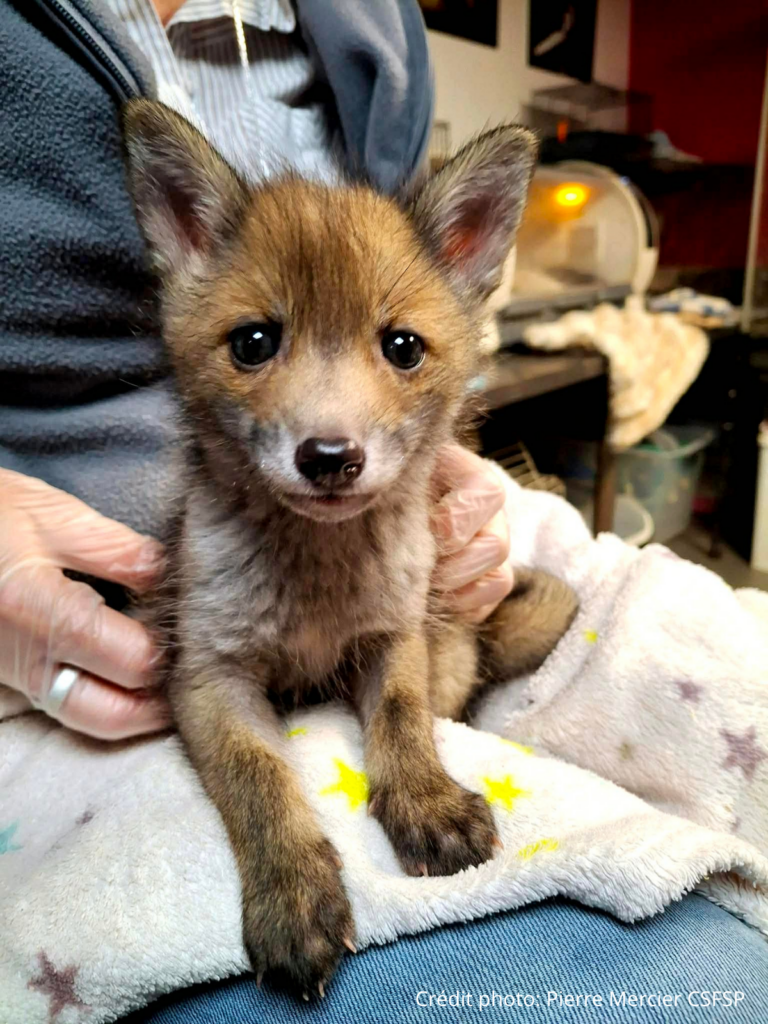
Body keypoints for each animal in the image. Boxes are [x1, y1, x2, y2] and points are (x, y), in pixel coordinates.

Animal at [122, 100, 578, 998]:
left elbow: (402, 722)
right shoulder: (208, 675)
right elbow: (261, 782)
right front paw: (294, 894)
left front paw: (427, 805)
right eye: (254, 342)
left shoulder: (395, 636)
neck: (318, 582)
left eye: (401, 347)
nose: (329, 457)